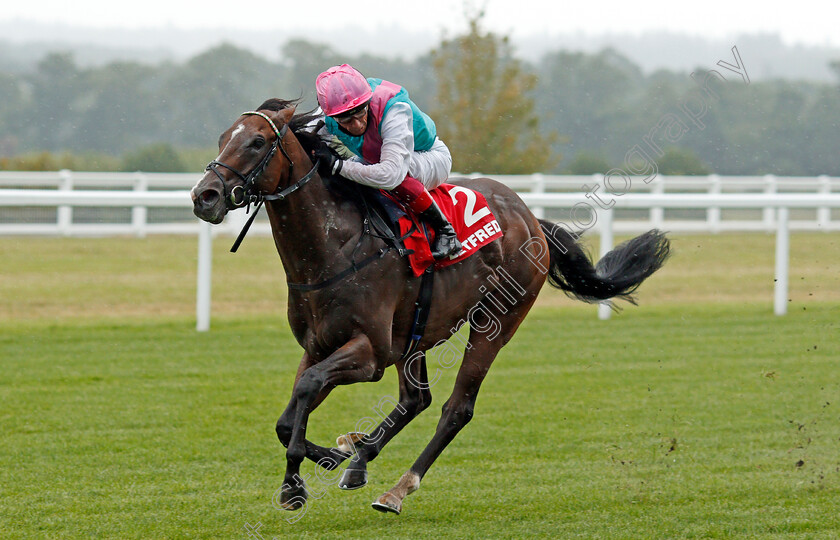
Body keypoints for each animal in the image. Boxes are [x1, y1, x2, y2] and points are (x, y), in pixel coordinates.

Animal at [190, 98, 668, 516]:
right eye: (222, 139)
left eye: (256, 142)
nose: (204, 195)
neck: (333, 248)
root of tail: (532, 219)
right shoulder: (319, 345)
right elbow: (288, 418)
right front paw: (332, 454)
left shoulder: (369, 353)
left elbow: (307, 388)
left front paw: (296, 484)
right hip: (414, 334)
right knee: (415, 399)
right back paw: (360, 458)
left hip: (495, 323)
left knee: (456, 409)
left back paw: (397, 489)